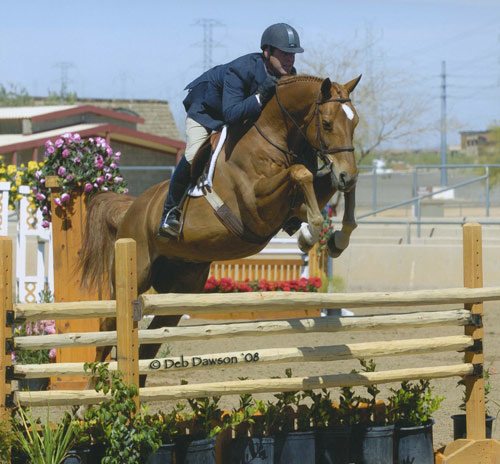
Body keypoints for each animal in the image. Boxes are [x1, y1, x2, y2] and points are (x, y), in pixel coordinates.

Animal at [79, 74, 360, 386]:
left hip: (181, 289)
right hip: (134, 272)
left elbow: (324, 183)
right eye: (327, 123)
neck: (273, 135)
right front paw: (311, 232)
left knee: (151, 342)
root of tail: (131, 209)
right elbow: (301, 173)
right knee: (107, 325)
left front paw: (336, 238)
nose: (346, 173)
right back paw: (93, 389)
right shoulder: (256, 206)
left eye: (355, 123)